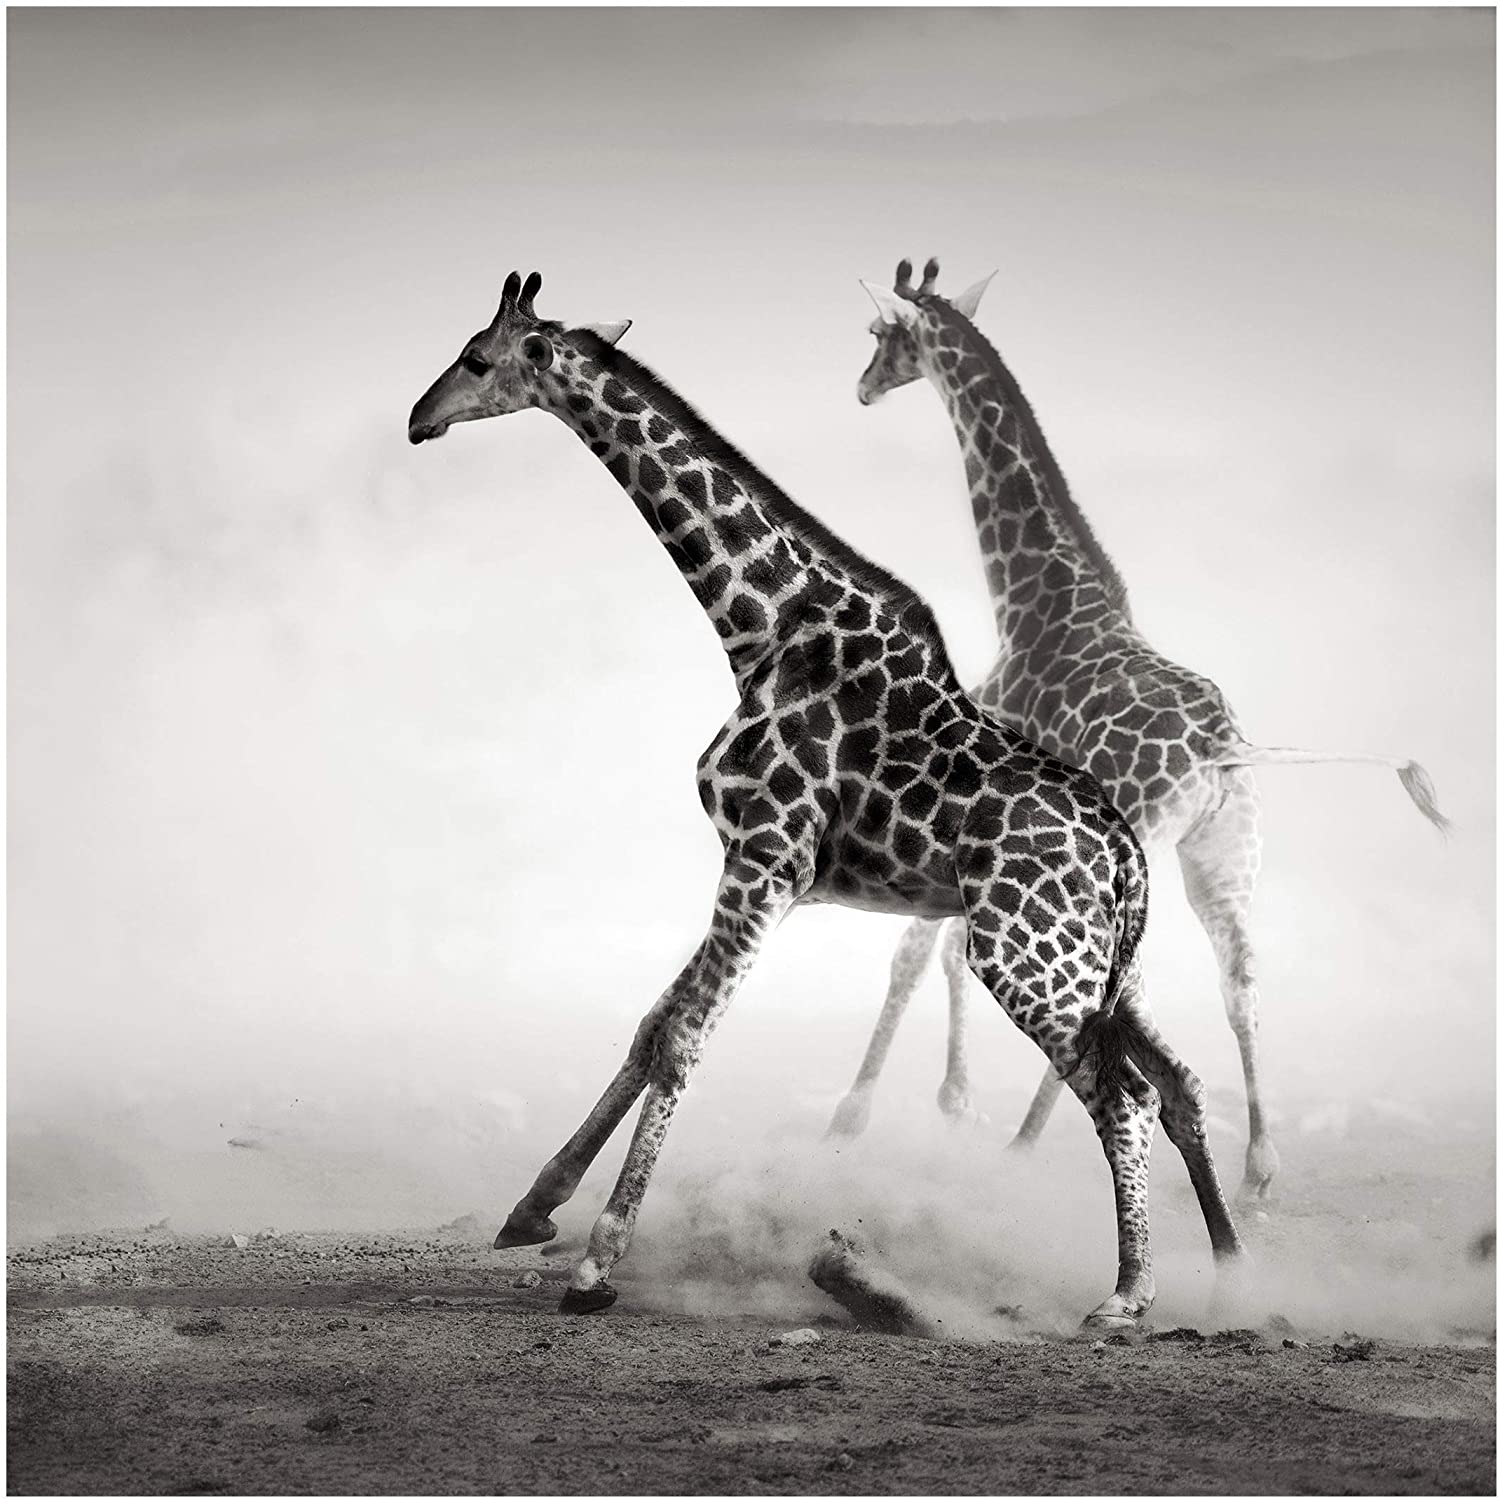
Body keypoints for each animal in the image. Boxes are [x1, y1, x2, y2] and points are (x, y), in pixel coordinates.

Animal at [407, 269, 1247, 1328]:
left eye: (477, 359)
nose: (418, 420)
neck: (762, 626)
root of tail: (1125, 853)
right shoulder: (758, 869)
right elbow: (649, 1028)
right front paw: (532, 1209)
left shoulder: (765, 859)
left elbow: (680, 1041)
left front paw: (596, 1265)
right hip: (1105, 966)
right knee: (1178, 1084)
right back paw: (1236, 1274)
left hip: (1025, 958)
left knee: (1122, 1096)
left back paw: (1128, 1295)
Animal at [830, 256, 1448, 1200]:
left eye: (878, 335)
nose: (863, 388)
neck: (1033, 603)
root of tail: (1224, 748)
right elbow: (947, 953)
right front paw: (949, 1102)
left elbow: (916, 953)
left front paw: (861, 1114)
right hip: (1223, 857)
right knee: (1241, 980)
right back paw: (1258, 1170)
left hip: (1147, 846)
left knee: (1120, 986)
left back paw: (1028, 1145)